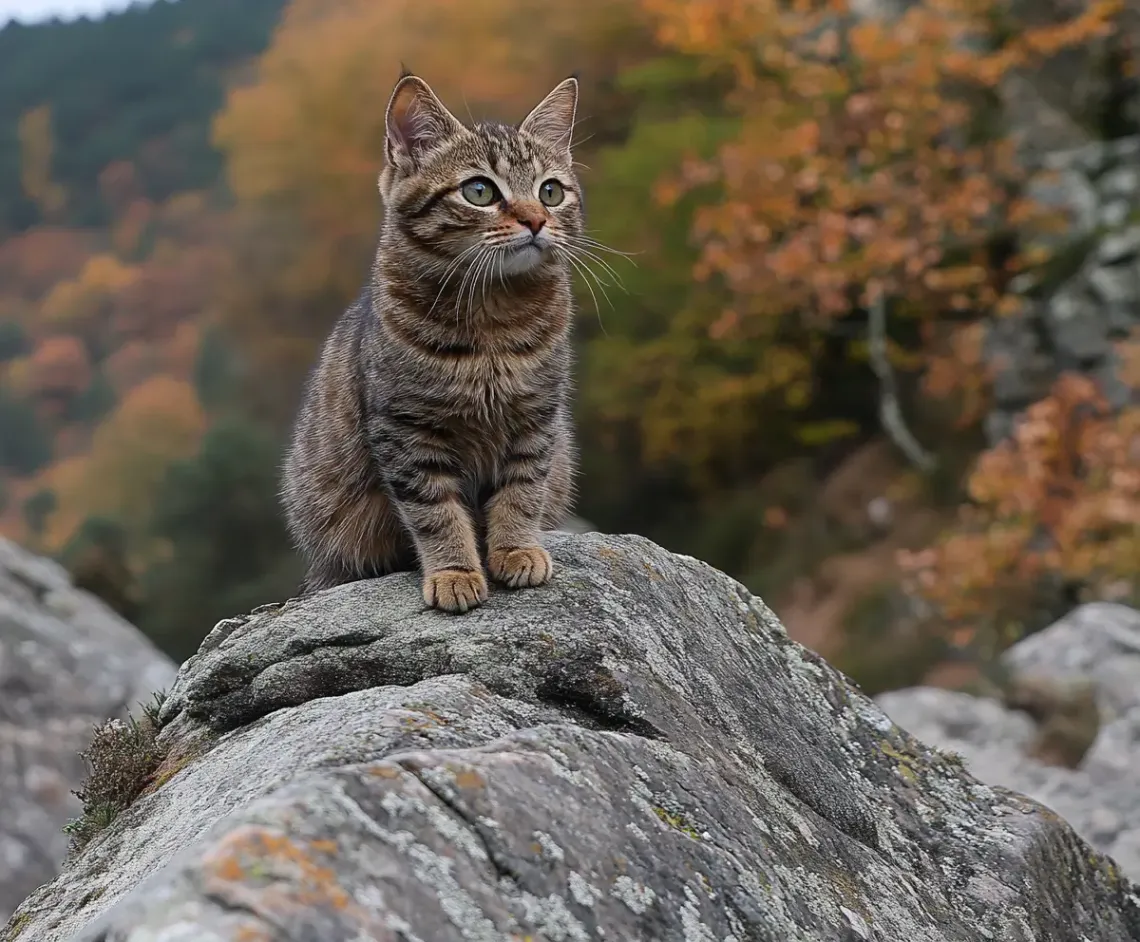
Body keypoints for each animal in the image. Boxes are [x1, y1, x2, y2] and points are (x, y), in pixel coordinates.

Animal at [281, 69, 583, 611]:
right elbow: (435, 511)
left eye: (550, 192)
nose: (536, 220)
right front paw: (455, 572)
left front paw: (516, 549)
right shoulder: (405, 430)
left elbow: (522, 489)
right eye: (480, 191)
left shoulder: (537, 418)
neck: (493, 316)